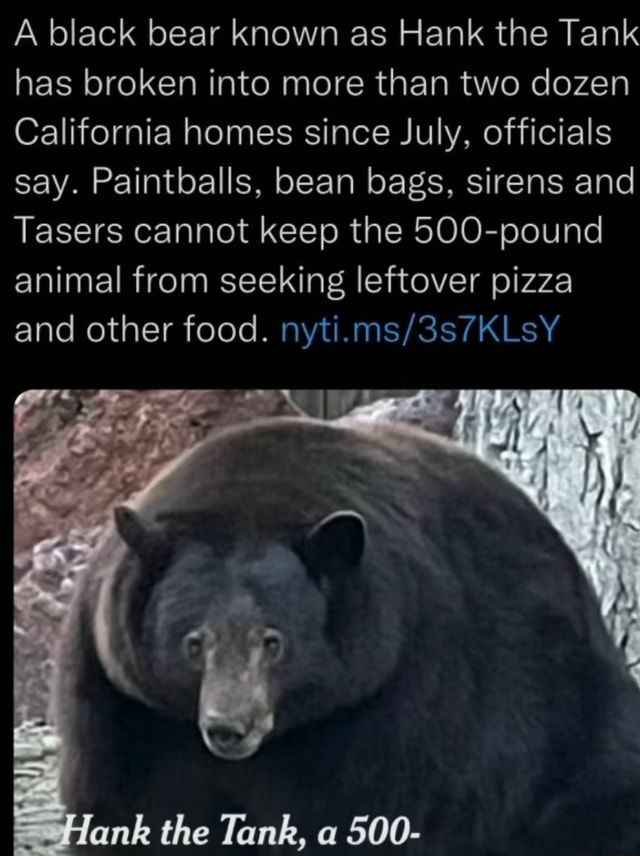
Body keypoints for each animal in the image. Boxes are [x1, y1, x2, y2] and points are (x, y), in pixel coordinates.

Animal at [52, 415, 640, 856]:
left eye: (274, 641)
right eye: (194, 643)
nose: (228, 728)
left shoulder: (400, 696)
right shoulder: (124, 706)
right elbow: (127, 808)